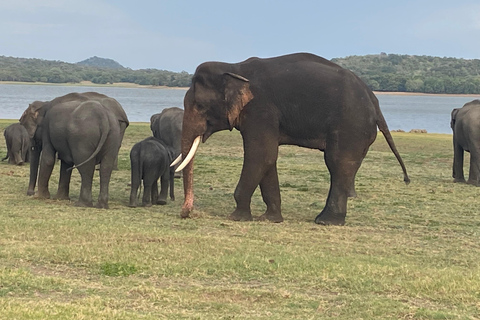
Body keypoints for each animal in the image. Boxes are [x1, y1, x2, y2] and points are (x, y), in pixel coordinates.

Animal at [174, 52, 410, 225]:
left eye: (200, 106)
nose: (186, 213)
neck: (235, 68)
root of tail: (374, 101)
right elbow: (269, 158)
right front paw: (270, 219)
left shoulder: (261, 109)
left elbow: (261, 155)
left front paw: (236, 218)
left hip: (350, 125)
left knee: (338, 163)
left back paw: (326, 221)